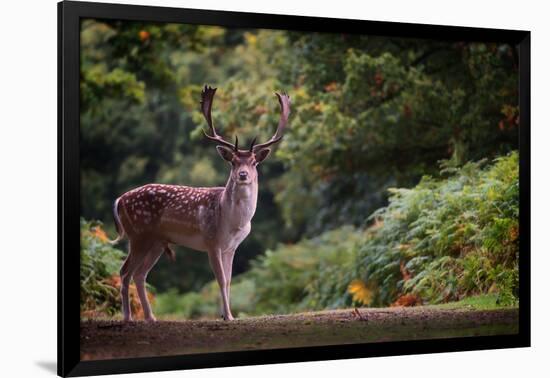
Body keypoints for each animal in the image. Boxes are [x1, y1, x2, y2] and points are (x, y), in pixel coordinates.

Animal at [110, 85, 292, 322]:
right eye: (233, 162)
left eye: (253, 162)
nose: (243, 175)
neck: (232, 221)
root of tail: (119, 200)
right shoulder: (211, 241)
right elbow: (221, 279)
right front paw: (229, 316)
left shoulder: (231, 247)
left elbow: (229, 280)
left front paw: (227, 314)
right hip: (138, 234)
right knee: (125, 271)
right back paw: (127, 317)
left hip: (156, 241)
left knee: (140, 274)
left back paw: (151, 318)